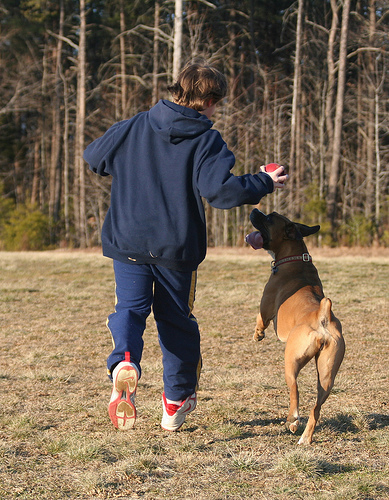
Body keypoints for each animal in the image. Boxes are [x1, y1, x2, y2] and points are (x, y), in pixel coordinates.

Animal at [247, 209, 344, 444]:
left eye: (269, 217)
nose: (255, 210)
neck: (295, 258)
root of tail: (322, 316)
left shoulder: (266, 307)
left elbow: (260, 318)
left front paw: (258, 334)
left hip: (290, 361)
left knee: (295, 391)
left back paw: (292, 419)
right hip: (327, 375)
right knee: (316, 408)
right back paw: (304, 438)